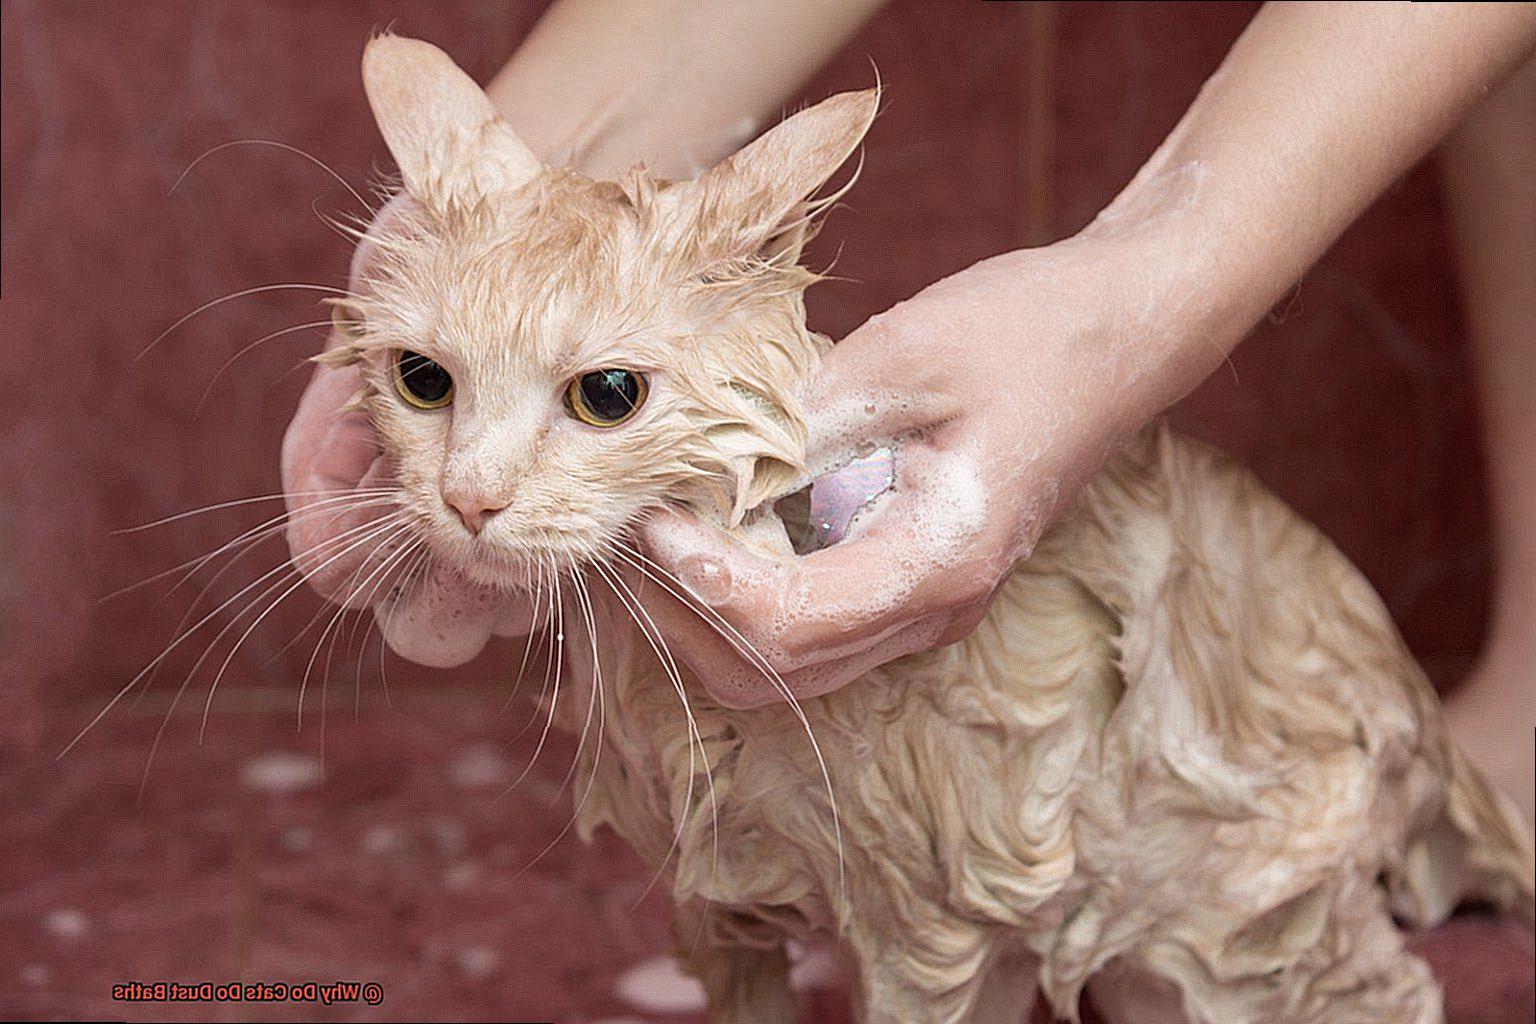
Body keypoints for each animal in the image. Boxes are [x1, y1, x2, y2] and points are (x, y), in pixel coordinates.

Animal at [314, 33, 1536, 1024]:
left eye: (607, 395)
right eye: (423, 381)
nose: (470, 500)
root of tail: (1412, 689)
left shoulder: (940, 941)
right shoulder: (716, 912)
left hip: (1220, 936)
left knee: (1385, 988)